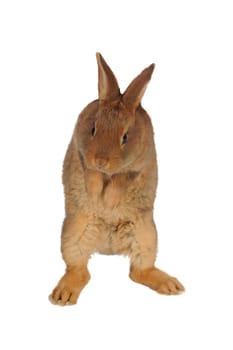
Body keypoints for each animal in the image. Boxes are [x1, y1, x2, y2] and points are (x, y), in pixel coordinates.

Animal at [49, 52, 184, 306]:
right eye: (93, 128)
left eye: (125, 137)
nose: (101, 160)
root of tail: (107, 247)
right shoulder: (81, 153)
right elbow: (90, 174)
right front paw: (96, 196)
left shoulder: (136, 166)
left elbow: (121, 180)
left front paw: (109, 202)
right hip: (72, 234)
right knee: (79, 270)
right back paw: (63, 295)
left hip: (146, 236)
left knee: (138, 271)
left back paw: (171, 285)